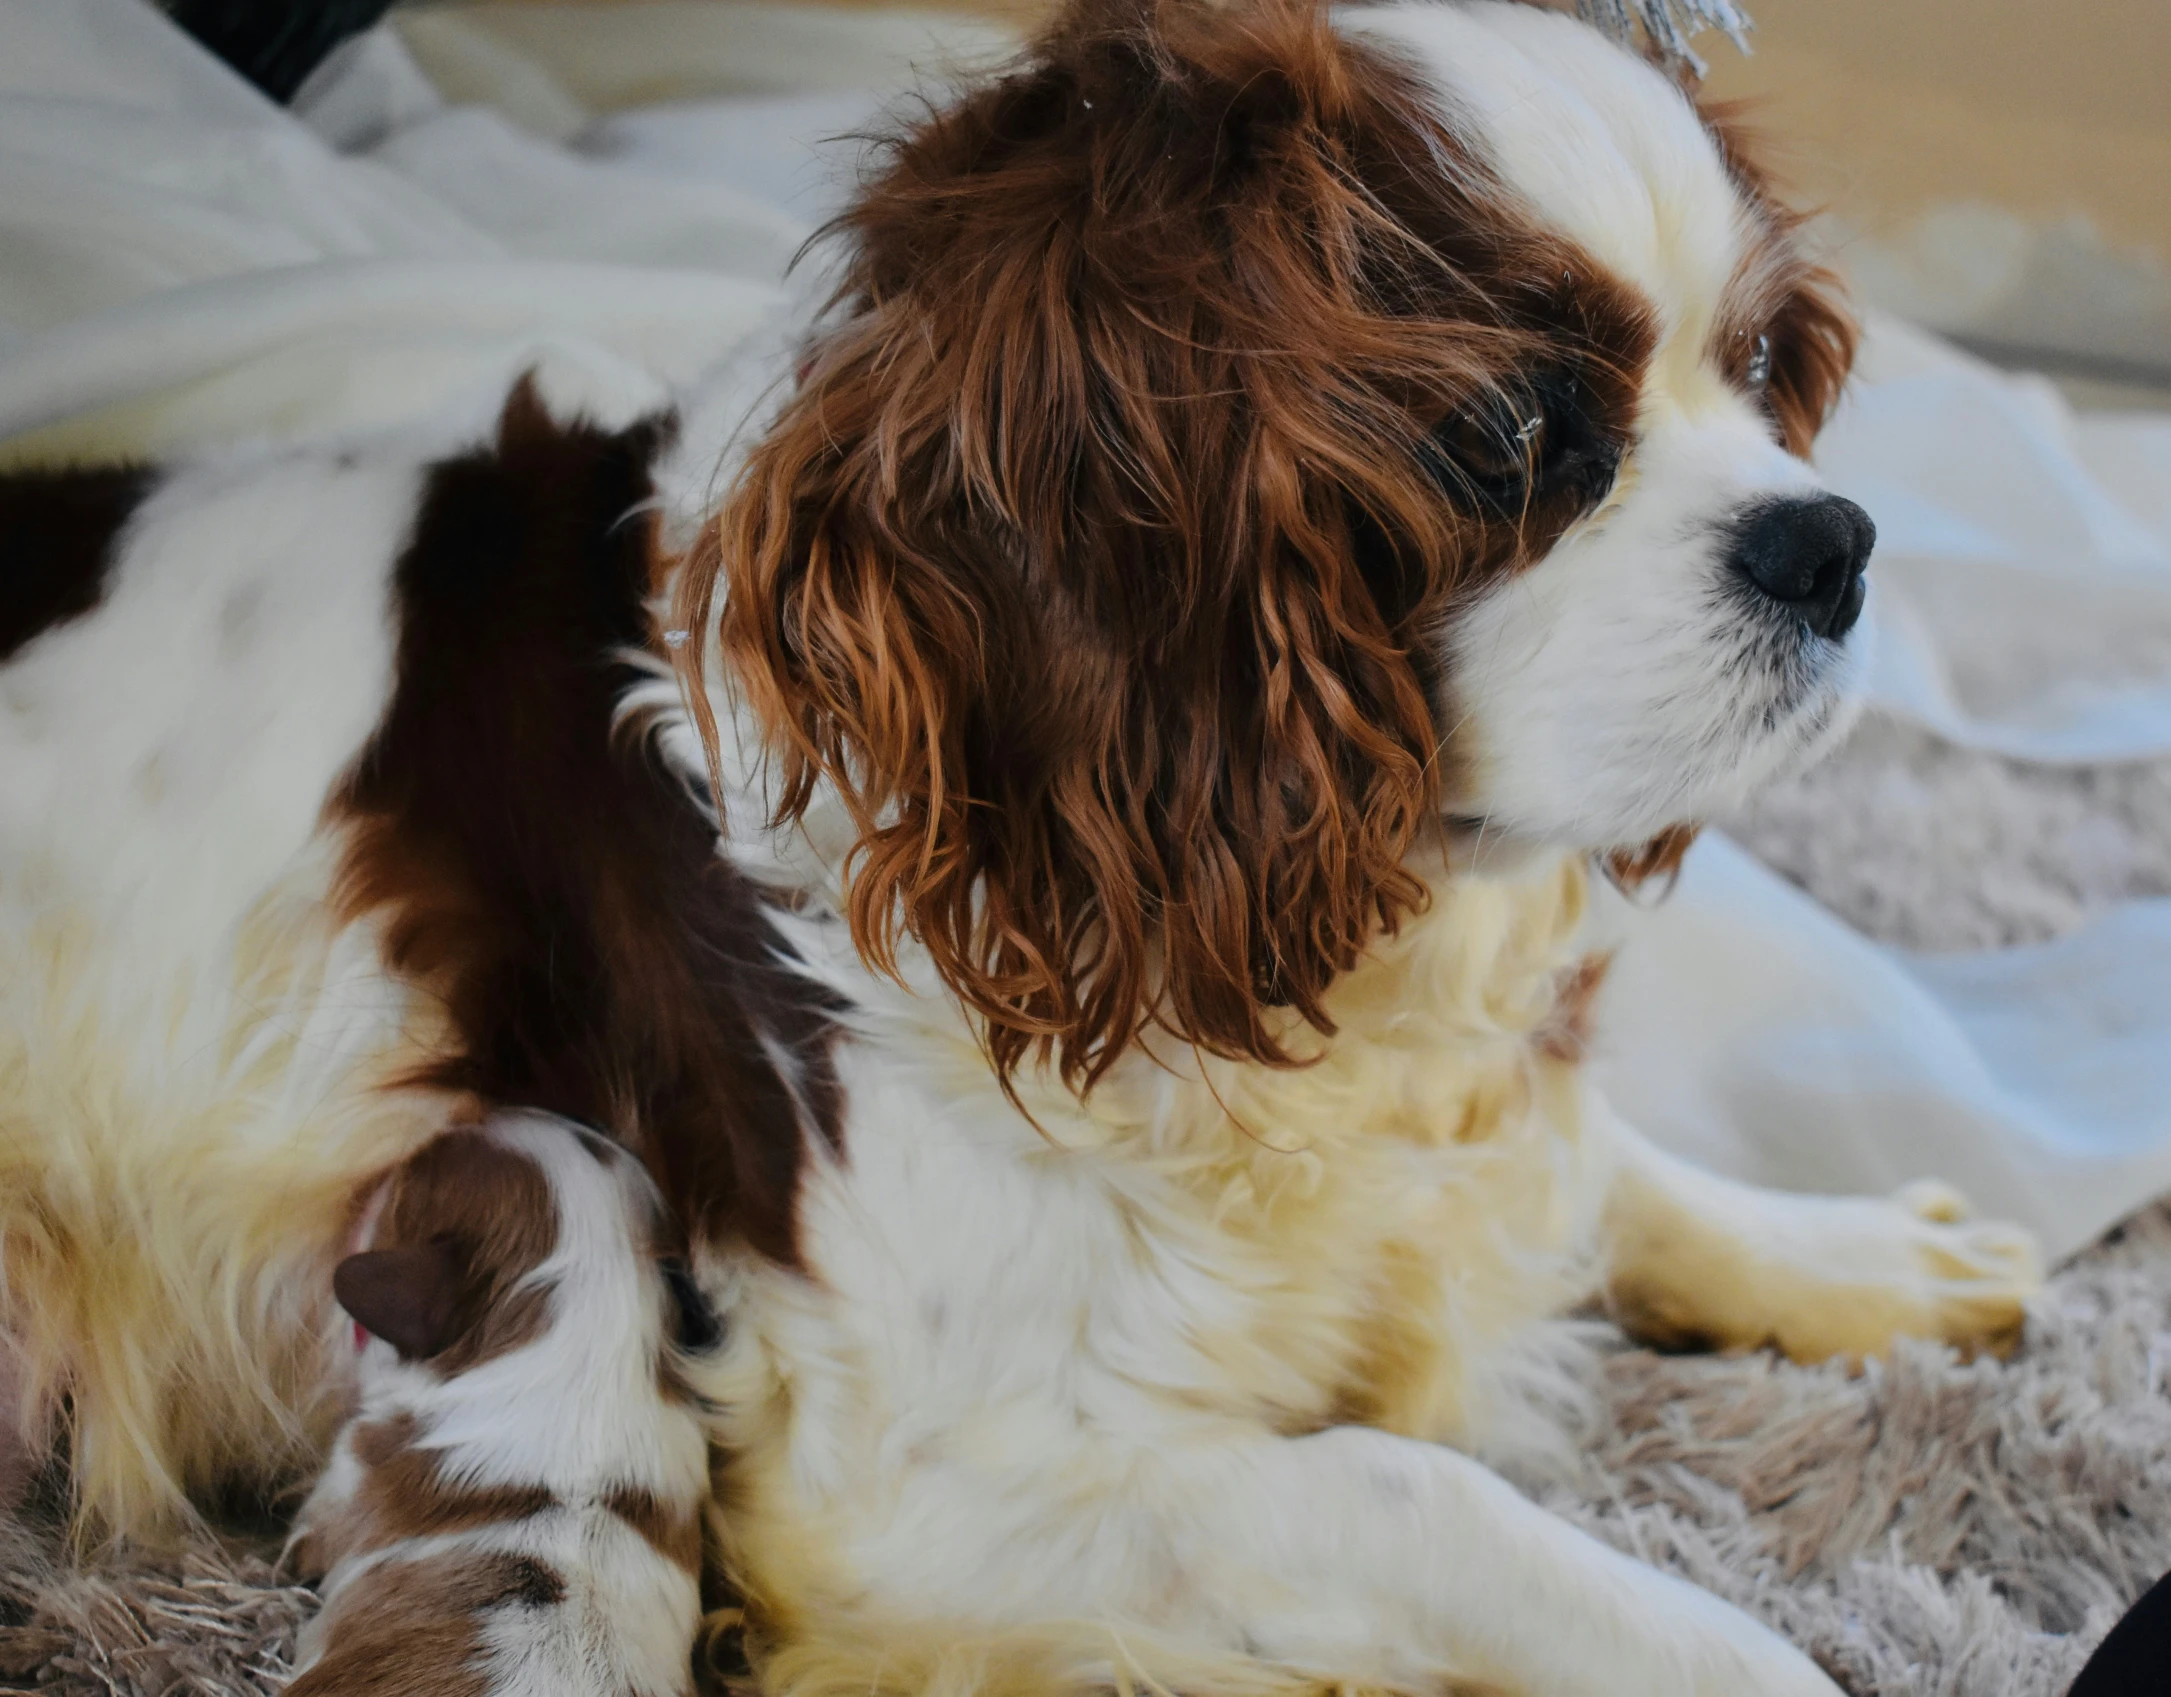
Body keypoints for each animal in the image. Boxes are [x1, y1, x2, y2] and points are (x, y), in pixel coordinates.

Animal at [0, 3, 2032, 1697]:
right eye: (1509, 430)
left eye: (1759, 372)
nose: (1831, 542)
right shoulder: (918, 1491)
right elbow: (1411, 1490)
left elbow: (1597, 1163)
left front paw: (1845, 1254)